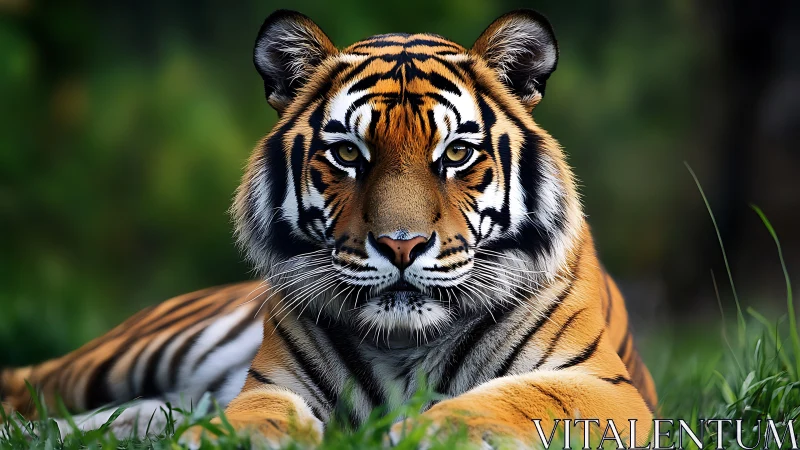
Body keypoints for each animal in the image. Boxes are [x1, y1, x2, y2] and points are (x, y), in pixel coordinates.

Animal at [1, 8, 657, 448]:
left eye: (455, 153)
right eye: (347, 154)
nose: (400, 246)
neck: (404, 344)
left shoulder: (603, 386)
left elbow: (505, 402)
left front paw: (419, 431)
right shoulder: (270, 382)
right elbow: (254, 413)